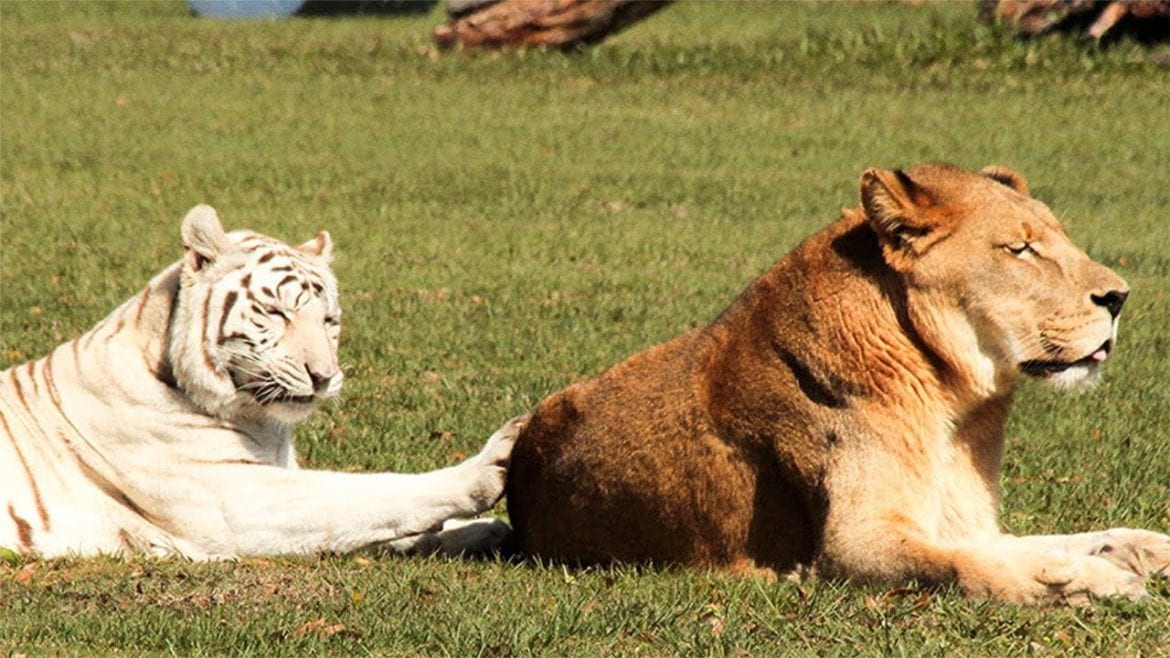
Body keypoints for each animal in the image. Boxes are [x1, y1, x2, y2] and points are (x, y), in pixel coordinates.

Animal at [0, 204, 521, 557]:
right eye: (276, 313)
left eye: (329, 320)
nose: (324, 376)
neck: (260, 423)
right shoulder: (233, 498)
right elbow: (365, 495)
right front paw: (489, 465)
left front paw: (483, 531)